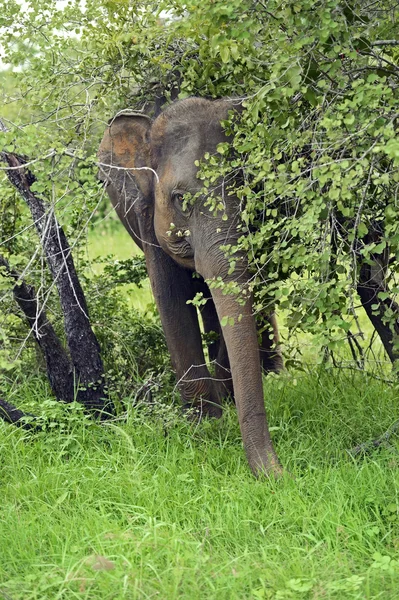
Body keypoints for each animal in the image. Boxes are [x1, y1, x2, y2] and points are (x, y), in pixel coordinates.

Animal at [98, 96, 282, 476]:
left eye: (253, 192)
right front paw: (205, 424)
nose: (280, 475)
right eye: (181, 200)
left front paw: (221, 406)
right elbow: (170, 299)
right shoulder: (145, 213)